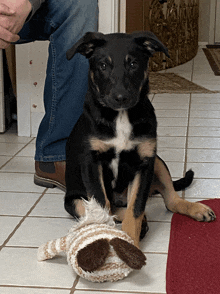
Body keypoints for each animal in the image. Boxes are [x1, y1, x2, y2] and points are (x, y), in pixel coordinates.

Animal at [64, 31, 216, 248]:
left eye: (133, 64)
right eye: (103, 65)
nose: (121, 97)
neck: (120, 116)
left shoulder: (144, 163)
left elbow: (135, 210)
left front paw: (131, 242)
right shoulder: (92, 163)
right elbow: (103, 207)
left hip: (157, 161)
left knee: (170, 202)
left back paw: (195, 209)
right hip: (74, 201)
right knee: (108, 209)